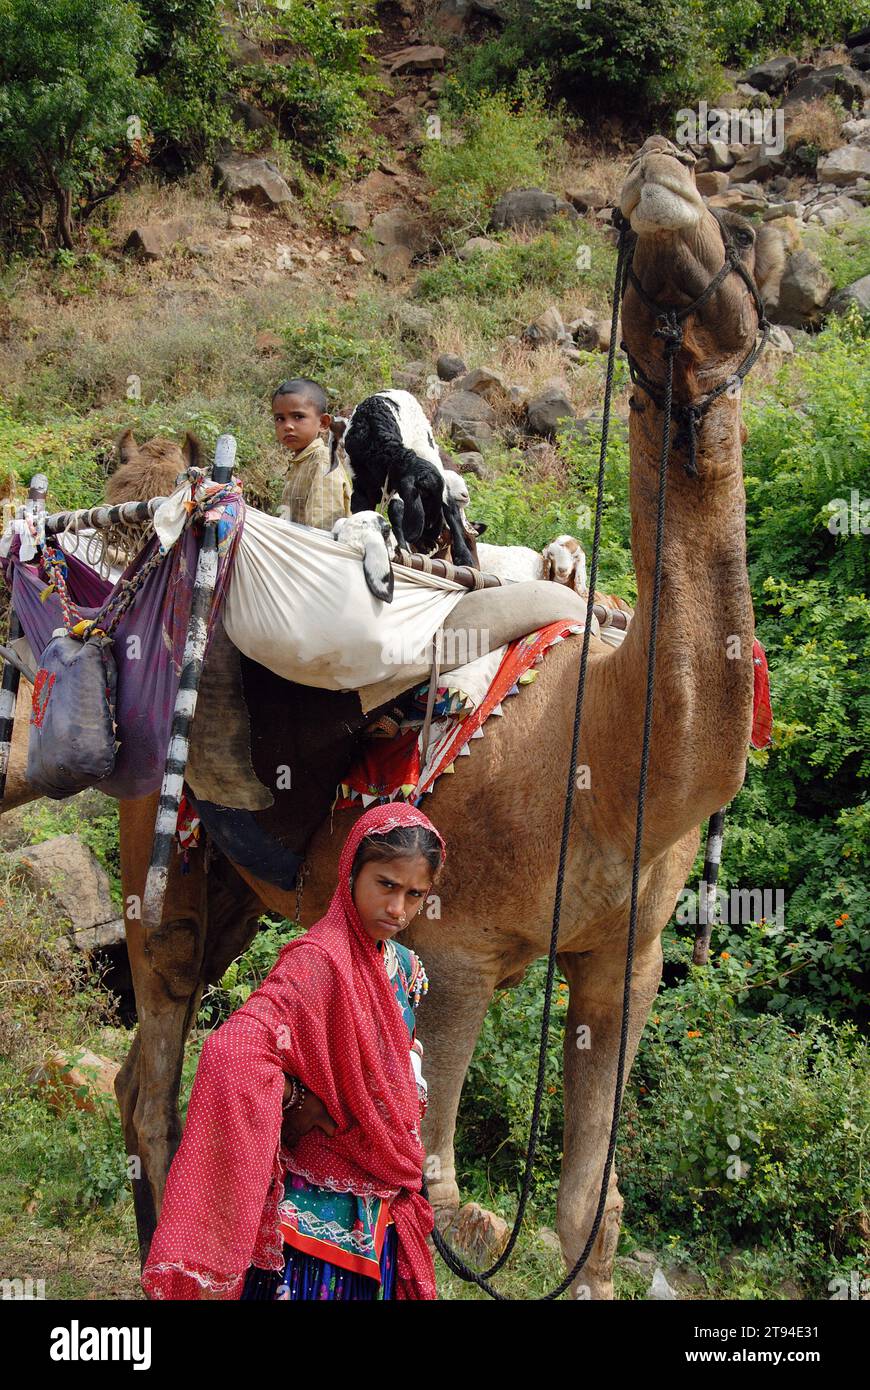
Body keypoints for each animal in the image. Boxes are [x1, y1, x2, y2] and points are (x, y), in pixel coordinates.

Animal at [326, 391, 475, 564]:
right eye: (425, 494)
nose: (433, 532)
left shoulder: (395, 485)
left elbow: (396, 510)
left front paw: (403, 550)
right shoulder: (361, 488)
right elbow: (364, 511)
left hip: (429, 450)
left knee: (451, 508)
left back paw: (463, 556)